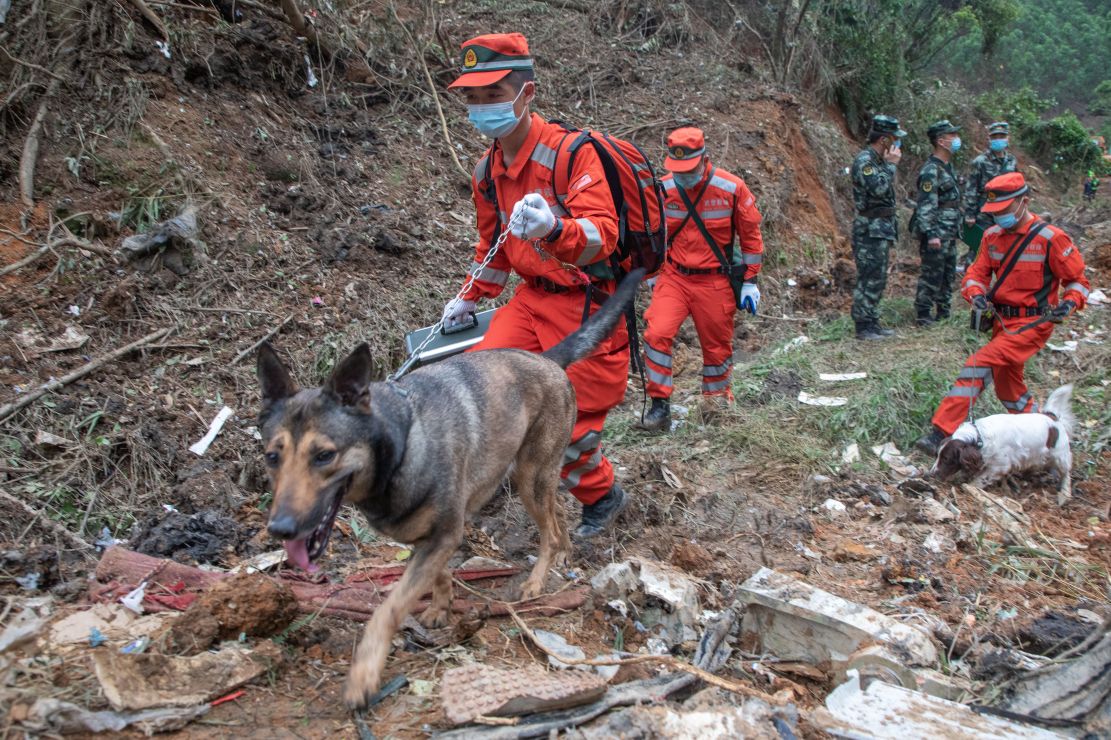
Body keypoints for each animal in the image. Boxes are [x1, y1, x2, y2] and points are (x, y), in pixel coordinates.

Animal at [255, 267, 644, 706]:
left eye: (324, 456)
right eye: (272, 457)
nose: (280, 530)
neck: (401, 444)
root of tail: (545, 359)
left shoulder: (444, 533)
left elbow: (389, 608)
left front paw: (364, 675)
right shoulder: (430, 538)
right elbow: (436, 577)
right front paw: (442, 607)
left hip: (529, 477)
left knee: (545, 528)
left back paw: (537, 579)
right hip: (537, 476)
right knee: (556, 511)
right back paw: (563, 551)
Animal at [928, 382, 1075, 504]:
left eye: (946, 459)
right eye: (937, 456)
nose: (930, 474)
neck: (980, 438)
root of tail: (1052, 417)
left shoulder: (999, 466)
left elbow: (980, 479)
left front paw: (971, 486)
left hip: (1060, 456)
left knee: (1066, 474)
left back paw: (1064, 494)